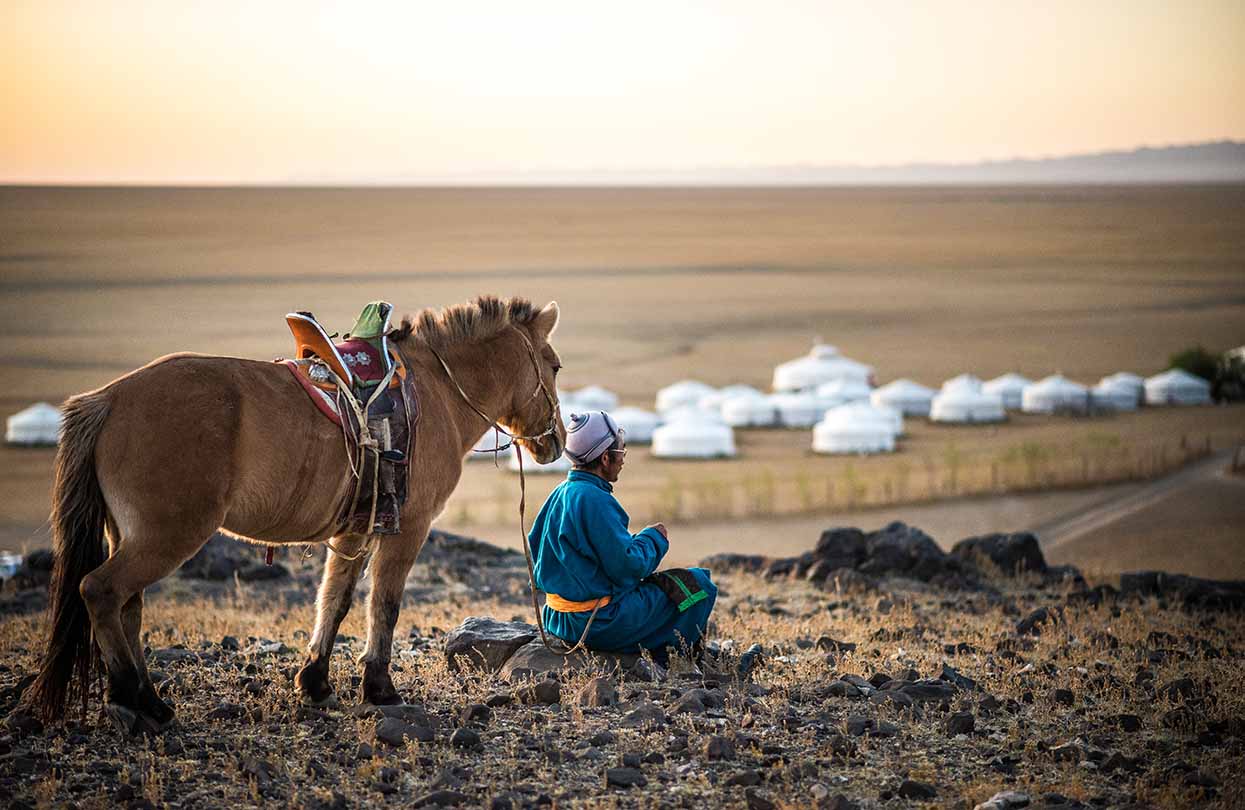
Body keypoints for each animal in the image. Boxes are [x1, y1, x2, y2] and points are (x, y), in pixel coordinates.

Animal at [24, 294, 565, 731]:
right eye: (555, 366)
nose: (556, 441)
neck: (436, 392)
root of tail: (109, 398)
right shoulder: (408, 529)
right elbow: (384, 605)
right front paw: (380, 689)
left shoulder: (354, 532)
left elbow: (334, 600)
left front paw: (316, 681)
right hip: (166, 536)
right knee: (100, 591)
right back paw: (130, 697)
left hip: (131, 535)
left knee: (128, 608)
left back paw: (150, 699)